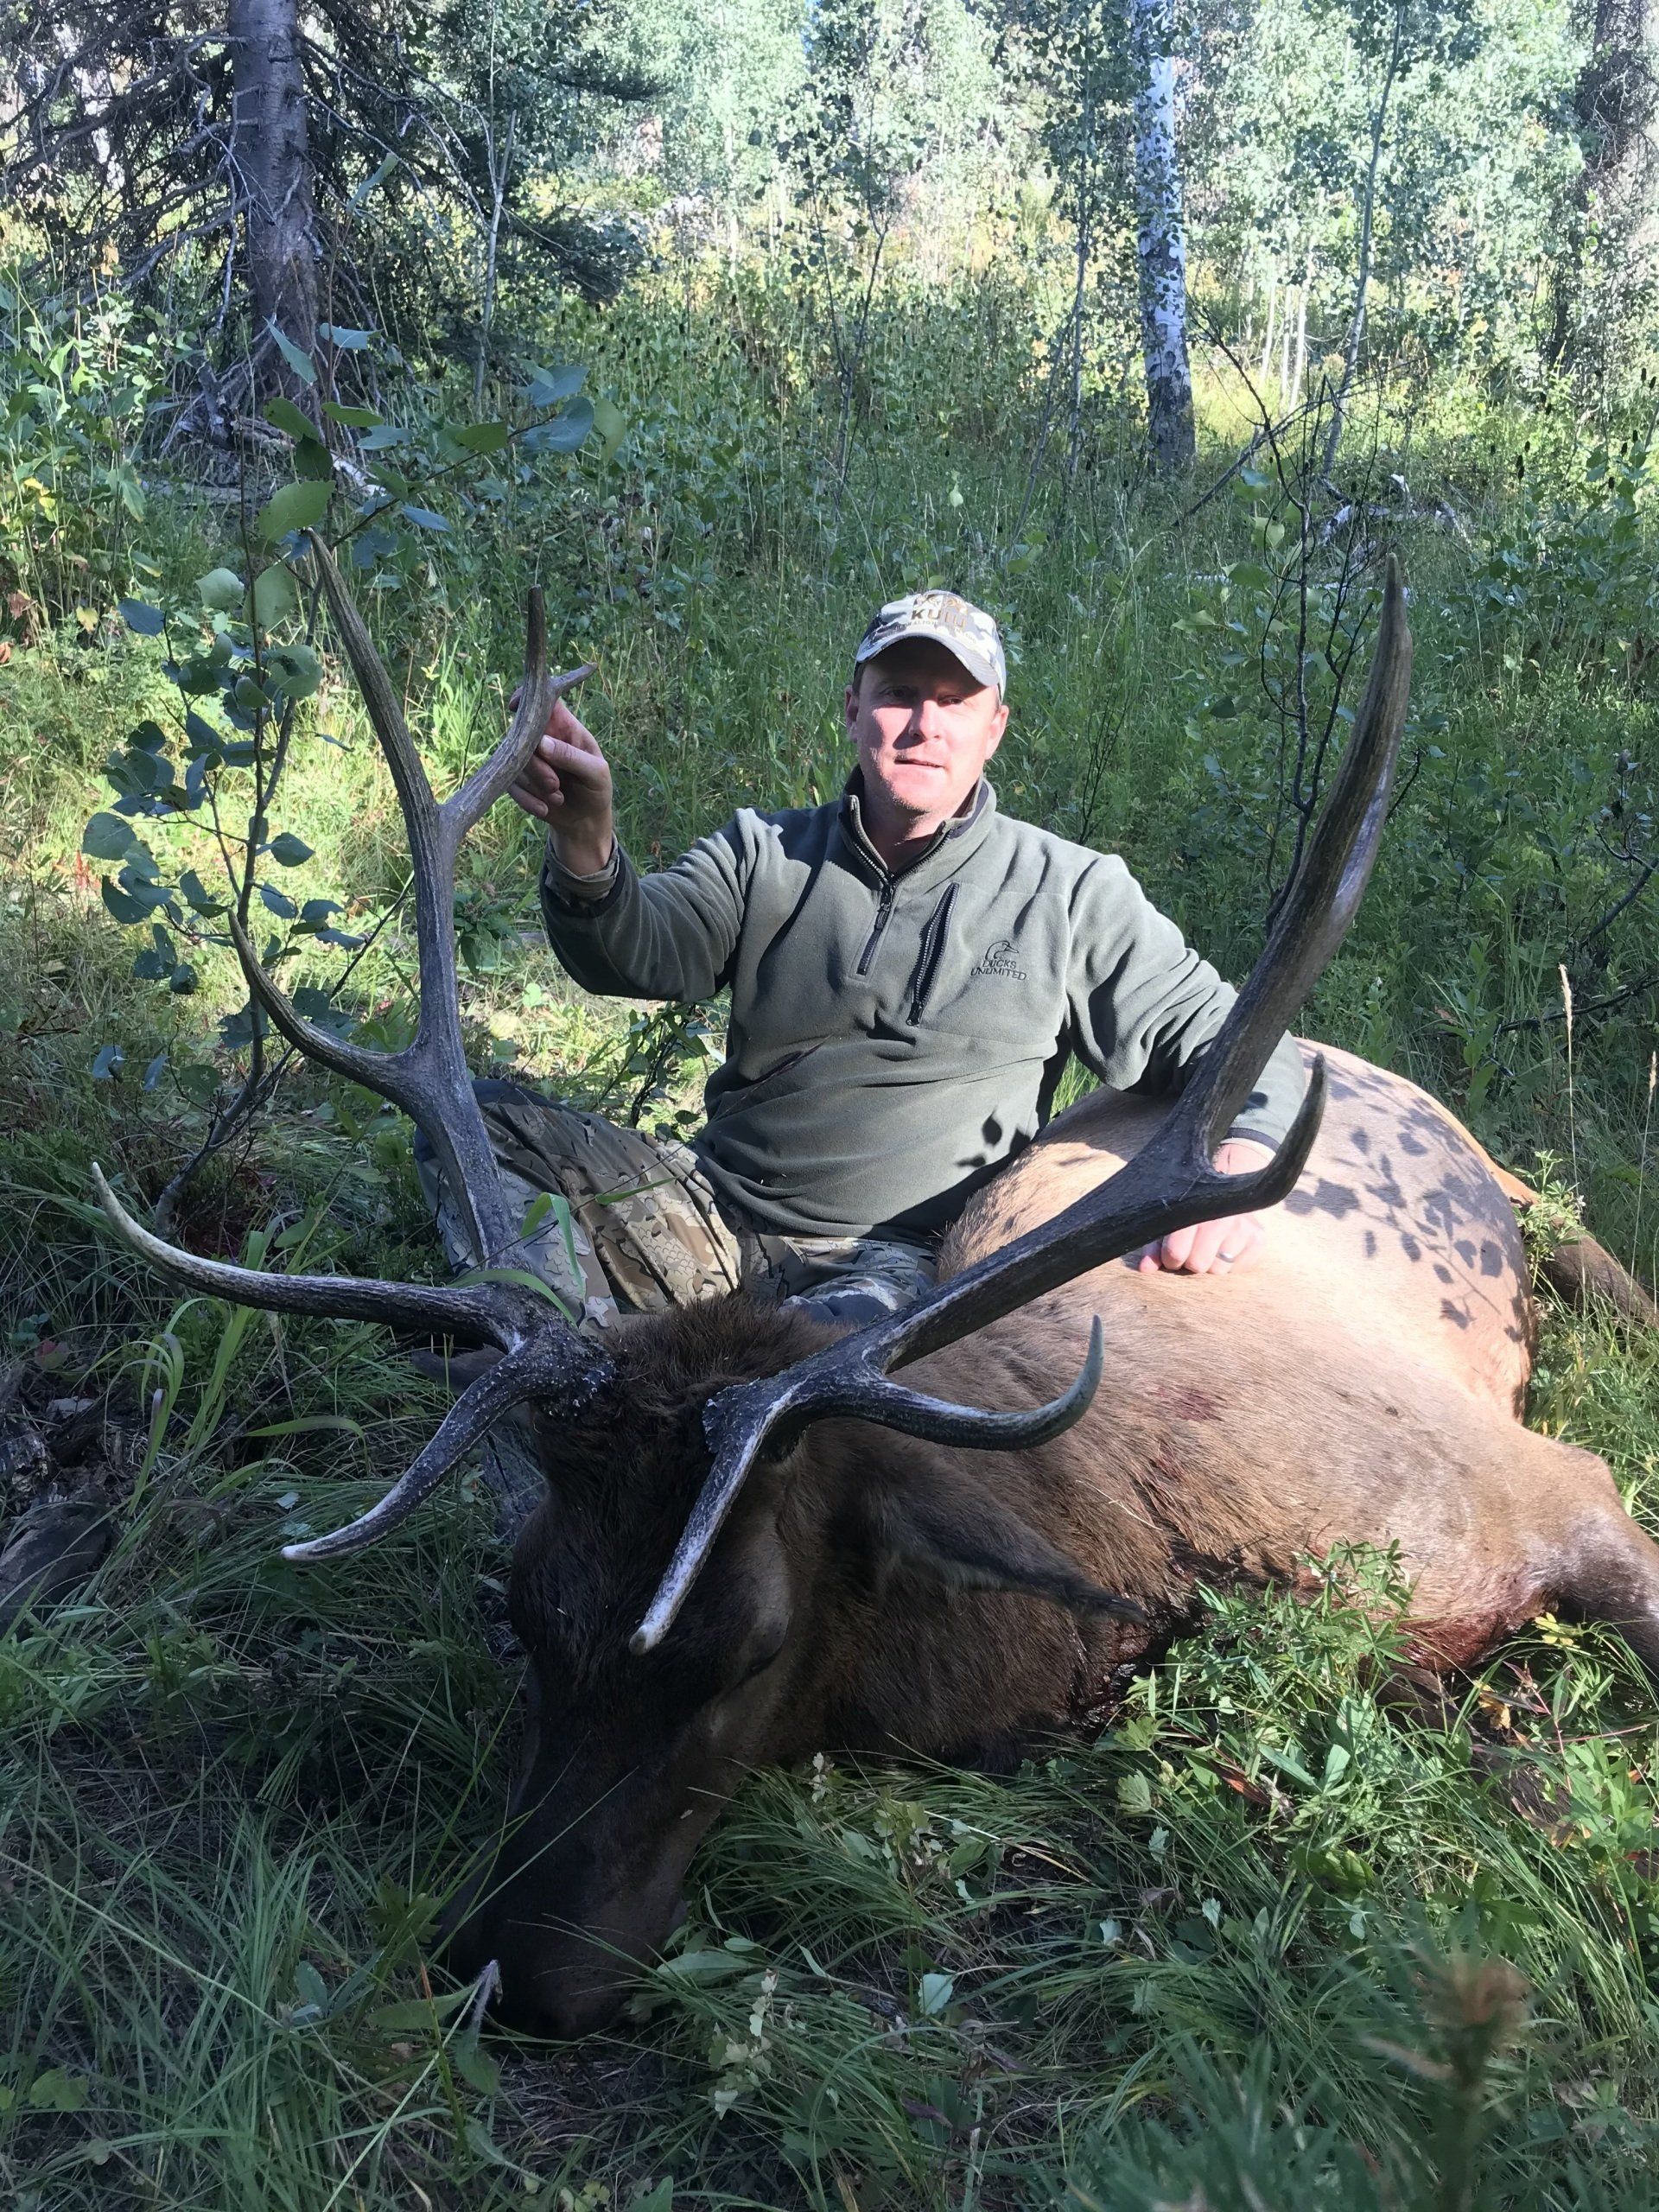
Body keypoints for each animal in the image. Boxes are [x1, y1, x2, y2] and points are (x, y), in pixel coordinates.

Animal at [91, 546, 1659, 2038]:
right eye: (523, 1609)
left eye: (745, 1651)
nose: (511, 1975)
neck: (1139, 1567)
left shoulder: (1552, 1487)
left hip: (1516, 1201)